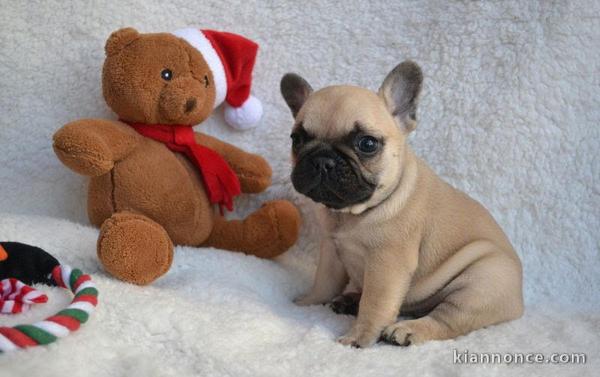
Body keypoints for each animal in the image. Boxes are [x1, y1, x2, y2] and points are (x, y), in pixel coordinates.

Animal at [280, 61, 520, 346]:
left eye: (367, 143)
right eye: (297, 139)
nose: (322, 161)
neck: (351, 215)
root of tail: (521, 301)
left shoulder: (387, 265)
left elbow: (375, 304)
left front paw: (358, 337)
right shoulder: (331, 250)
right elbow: (325, 282)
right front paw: (308, 302)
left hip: (481, 284)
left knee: (446, 319)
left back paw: (407, 329)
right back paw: (349, 300)